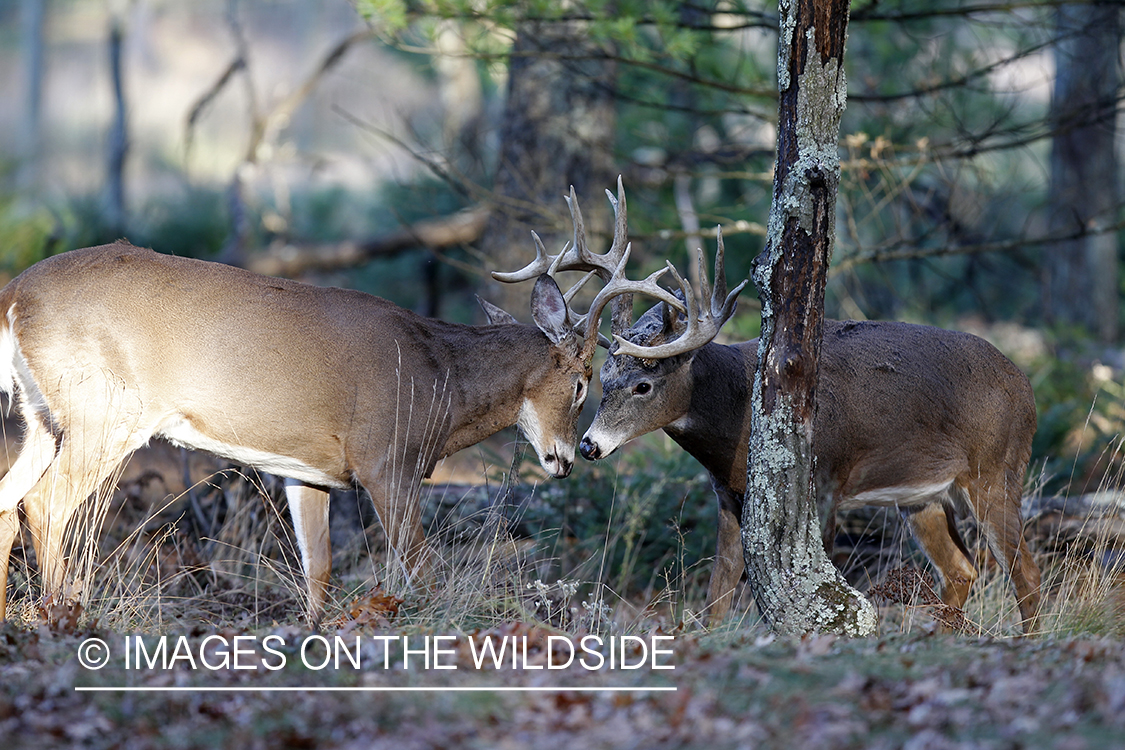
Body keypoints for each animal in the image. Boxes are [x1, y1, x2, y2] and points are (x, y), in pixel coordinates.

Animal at [0, 179, 670, 620]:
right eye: (583, 380)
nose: (569, 456)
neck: (442, 381)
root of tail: (15, 293)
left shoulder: (310, 472)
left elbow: (318, 570)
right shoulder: (387, 461)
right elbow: (417, 568)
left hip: (43, 417)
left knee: (11, 497)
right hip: (105, 410)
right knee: (45, 501)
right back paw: (61, 613)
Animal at [580, 237, 1044, 638]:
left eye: (643, 385)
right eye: (603, 377)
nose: (589, 445)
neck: (737, 407)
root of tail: (1025, 386)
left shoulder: (826, 479)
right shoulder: (727, 493)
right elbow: (718, 591)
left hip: (996, 469)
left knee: (1025, 571)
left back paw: (1029, 639)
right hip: (923, 496)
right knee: (961, 569)